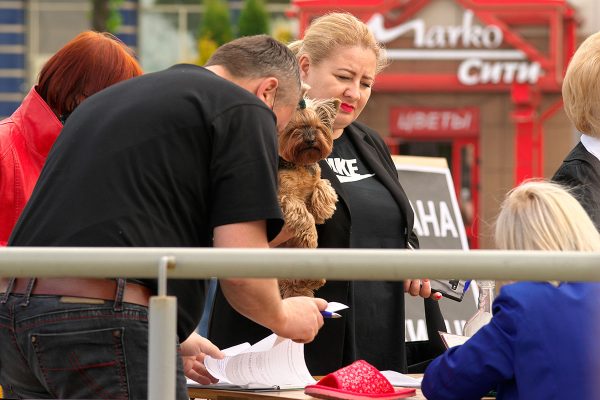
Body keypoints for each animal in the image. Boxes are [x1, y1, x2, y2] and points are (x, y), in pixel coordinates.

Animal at [278, 96, 340, 296]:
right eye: (294, 128)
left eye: (318, 127)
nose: (311, 139)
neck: (299, 163)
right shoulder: (284, 197)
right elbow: (306, 218)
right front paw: (311, 235)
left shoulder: (314, 177)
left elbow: (322, 185)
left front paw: (323, 209)